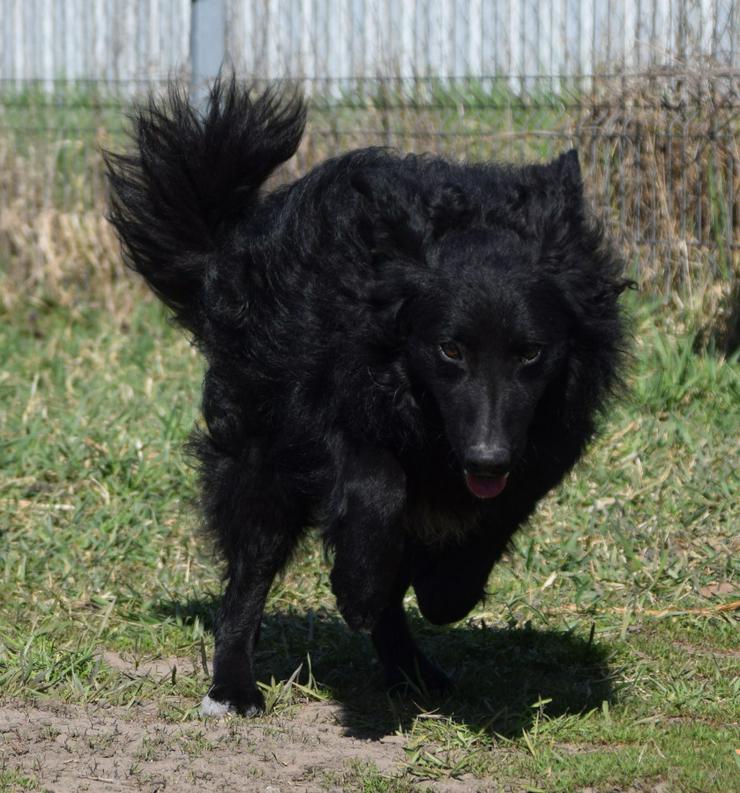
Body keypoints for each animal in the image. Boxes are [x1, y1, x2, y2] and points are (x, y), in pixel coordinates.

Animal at [107, 80, 628, 716]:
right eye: (450, 350)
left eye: (531, 354)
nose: (486, 459)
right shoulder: (317, 412)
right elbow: (376, 485)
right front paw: (356, 586)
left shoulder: (541, 442)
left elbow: (489, 522)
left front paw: (442, 585)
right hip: (260, 456)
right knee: (250, 571)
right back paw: (234, 685)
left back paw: (411, 667)